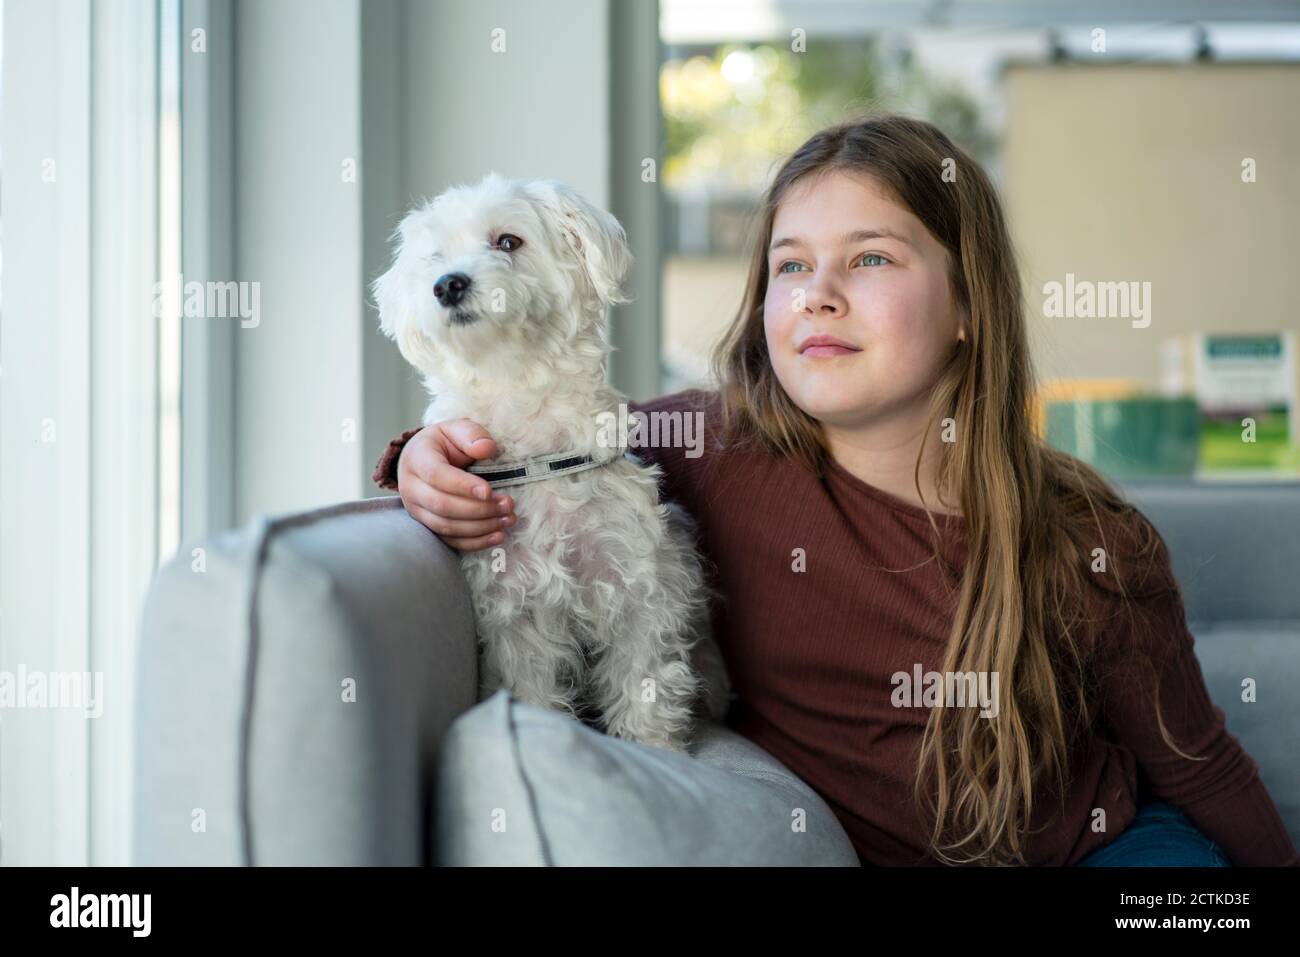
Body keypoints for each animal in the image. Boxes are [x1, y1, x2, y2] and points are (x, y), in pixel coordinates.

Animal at [371, 175, 728, 748]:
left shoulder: (640, 592)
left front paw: (656, 751)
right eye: (435, 257)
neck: (536, 448)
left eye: (508, 241)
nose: (447, 284)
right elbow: (532, 691)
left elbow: (644, 688)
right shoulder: (517, 615)